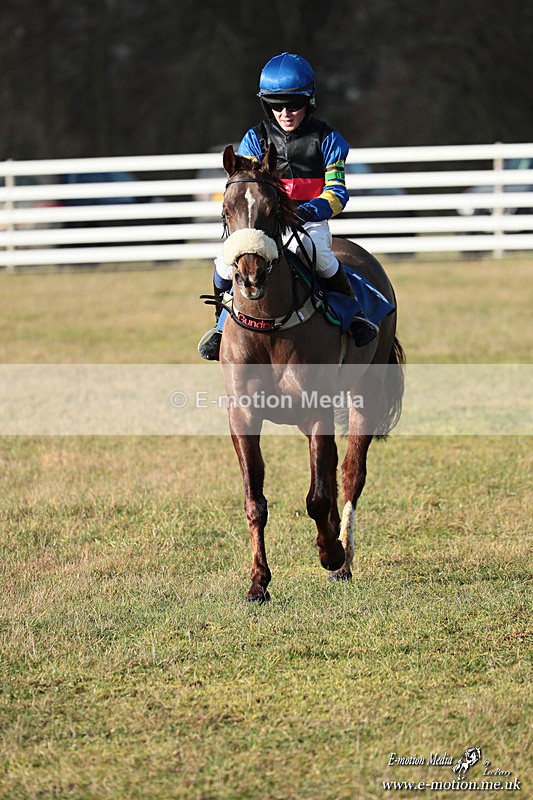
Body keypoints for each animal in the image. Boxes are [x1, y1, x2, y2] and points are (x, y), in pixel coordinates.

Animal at [212, 143, 405, 602]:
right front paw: (258, 582)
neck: (269, 326)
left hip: (366, 389)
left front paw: (330, 554)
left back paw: (343, 557)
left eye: (271, 209)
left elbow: (317, 495)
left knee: (350, 474)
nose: (249, 275)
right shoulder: (243, 415)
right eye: (227, 210)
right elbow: (255, 501)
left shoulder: (318, 408)